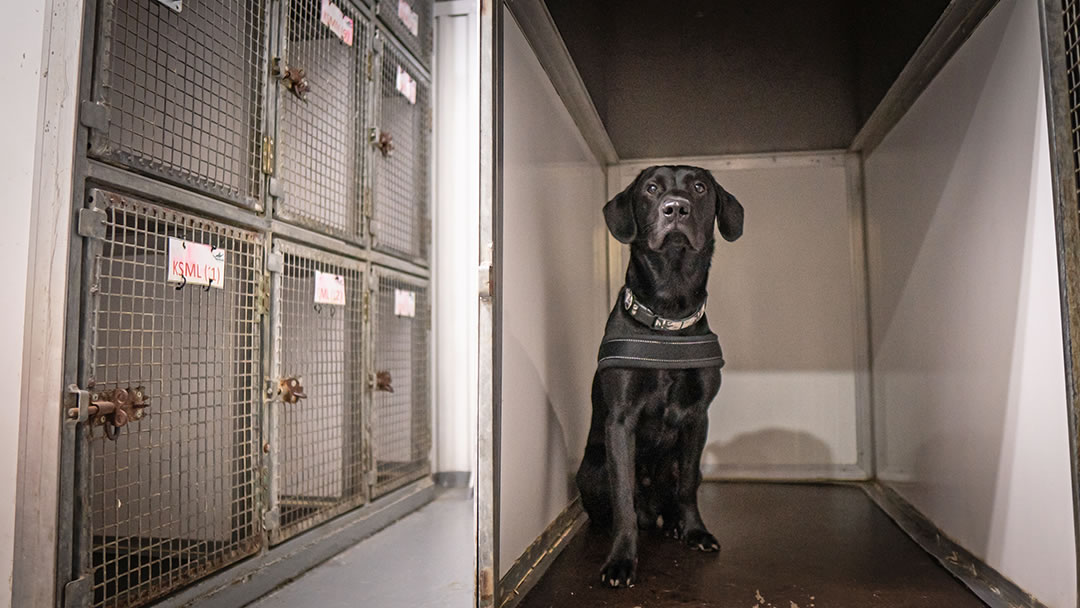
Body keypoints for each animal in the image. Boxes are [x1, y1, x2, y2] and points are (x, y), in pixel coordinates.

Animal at [574, 166, 743, 591]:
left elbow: (688, 486)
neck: (668, 314)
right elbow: (623, 500)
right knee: (619, 508)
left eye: (699, 187)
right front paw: (621, 560)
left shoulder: (698, 418)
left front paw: (695, 531)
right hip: (592, 470)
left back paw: (672, 525)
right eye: (651, 188)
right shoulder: (620, 421)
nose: (676, 208)